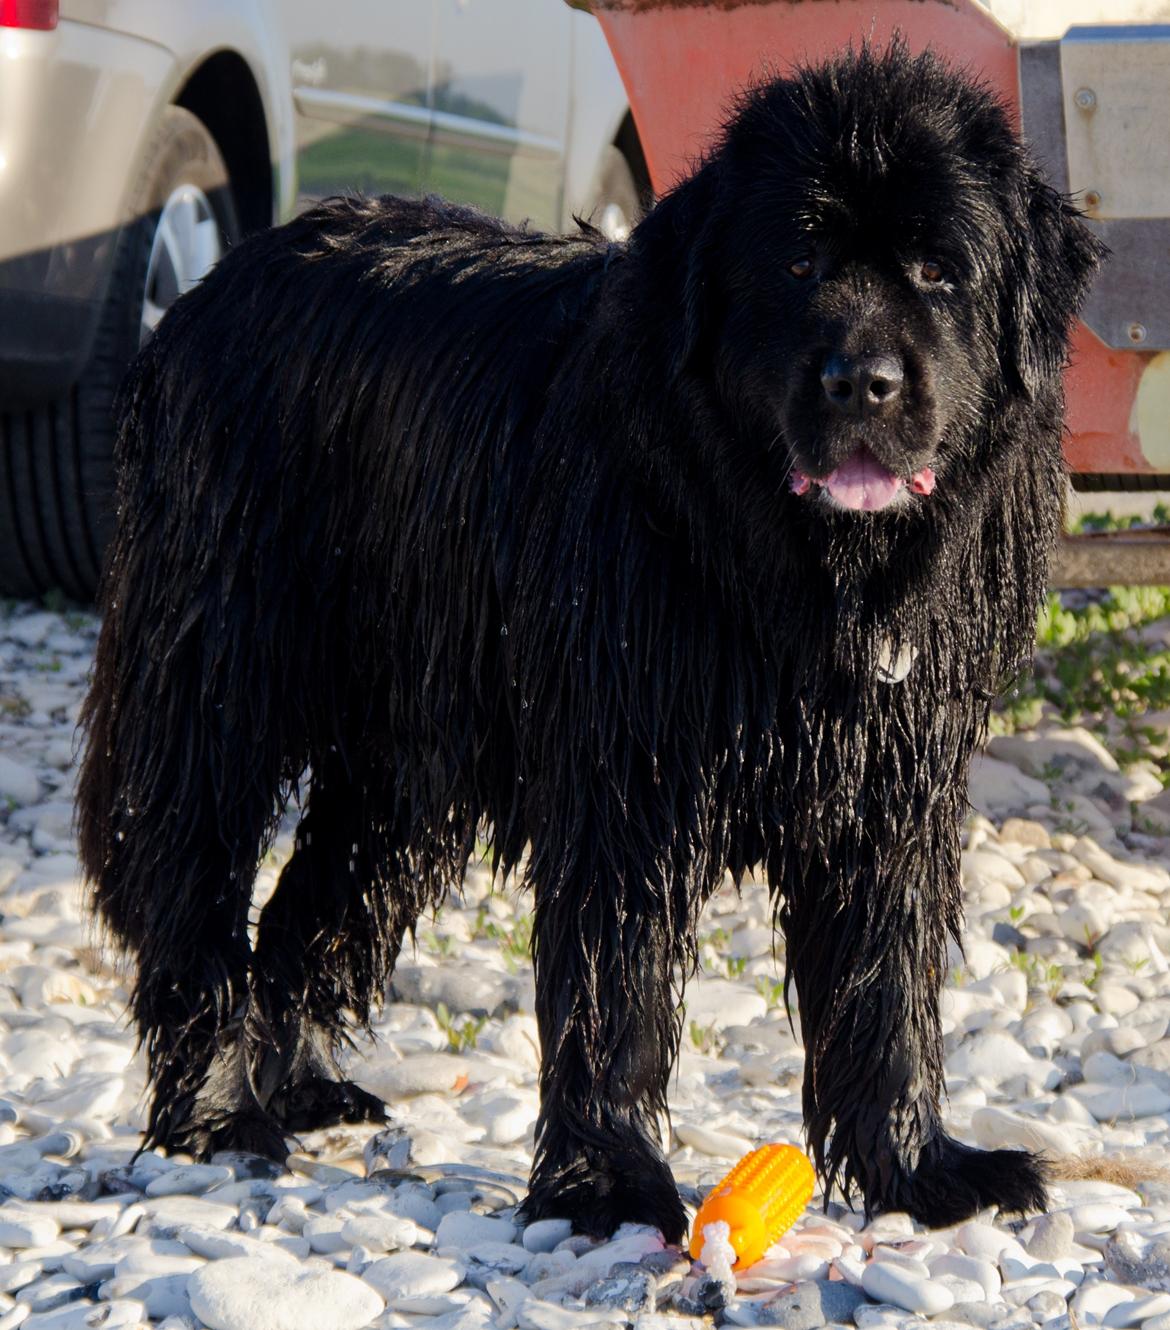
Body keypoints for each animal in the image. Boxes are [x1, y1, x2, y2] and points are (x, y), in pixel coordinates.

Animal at [77, 46, 1100, 1239]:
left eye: (940, 269)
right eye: (796, 262)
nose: (862, 382)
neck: (800, 573)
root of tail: (205, 293)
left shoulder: (892, 779)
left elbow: (884, 983)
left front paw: (922, 1170)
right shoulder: (631, 767)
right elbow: (619, 978)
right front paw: (608, 1181)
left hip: (403, 762)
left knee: (318, 902)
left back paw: (297, 1086)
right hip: (217, 669)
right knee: (191, 876)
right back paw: (213, 1109)